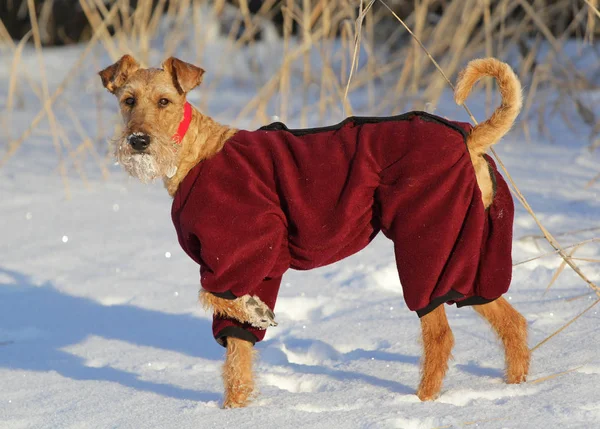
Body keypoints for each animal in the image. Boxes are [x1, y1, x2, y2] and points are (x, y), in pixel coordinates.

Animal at [101, 55, 532, 406]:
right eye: (128, 100)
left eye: (164, 102)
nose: (138, 141)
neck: (196, 153)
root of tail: (469, 136)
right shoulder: (246, 263)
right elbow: (236, 349)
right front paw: (236, 408)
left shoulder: (247, 249)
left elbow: (214, 296)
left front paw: (257, 314)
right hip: (469, 251)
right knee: (511, 321)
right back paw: (517, 388)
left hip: (427, 245)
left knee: (440, 335)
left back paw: (419, 402)